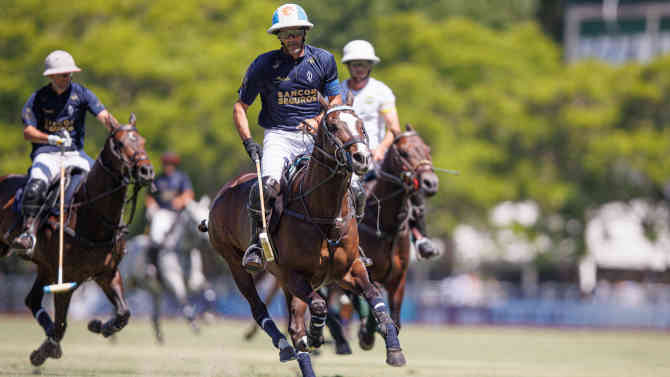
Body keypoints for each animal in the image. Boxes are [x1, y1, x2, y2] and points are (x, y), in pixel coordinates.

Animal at [0, 114, 154, 364]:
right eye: (120, 144)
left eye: (143, 141)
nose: (146, 171)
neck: (92, 215)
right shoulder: (67, 280)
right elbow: (61, 326)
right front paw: (44, 351)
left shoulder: (107, 273)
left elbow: (124, 313)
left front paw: (99, 325)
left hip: (45, 267)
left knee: (31, 300)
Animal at [207, 97, 406, 376]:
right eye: (332, 126)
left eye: (360, 124)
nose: (361, 157)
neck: (325, 214)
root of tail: (224, 191)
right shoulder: (293, 274)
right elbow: (319, 308)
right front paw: (316, 335)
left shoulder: (348, 270)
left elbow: (375, 297)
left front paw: (394, 349)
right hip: (235, 263)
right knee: (261, 310)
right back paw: (285, 346)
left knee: (294, 323)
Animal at [356, 125, 440, 348]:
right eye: (403, 153)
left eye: (428, 150)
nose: (430, 183)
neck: (388, 225)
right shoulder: (370, 273)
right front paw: (368, 332)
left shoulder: (399, 278)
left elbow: (395, 320)